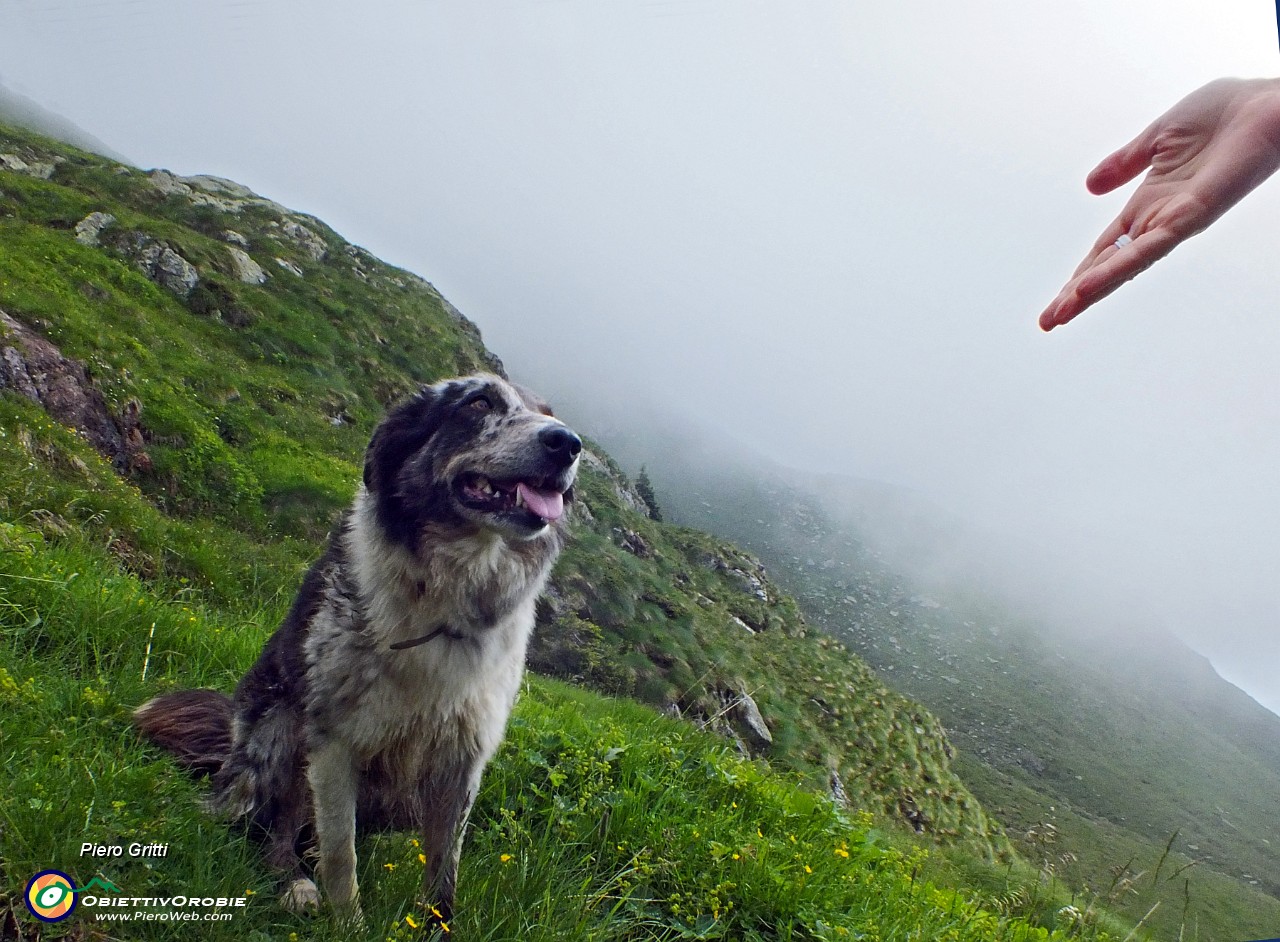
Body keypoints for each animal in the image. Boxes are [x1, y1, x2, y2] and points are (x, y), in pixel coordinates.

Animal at [132, 371, 583, 921]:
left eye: (549, 415)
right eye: (478, 403)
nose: (567, 443)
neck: (445, 596)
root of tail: (228, 754)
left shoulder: (462, 758)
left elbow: (444, 873)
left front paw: (434, 926)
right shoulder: (333, 743)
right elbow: (339, 853)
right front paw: (348, 922)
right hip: (280, 730)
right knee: (269, 825)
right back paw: (293, 881)